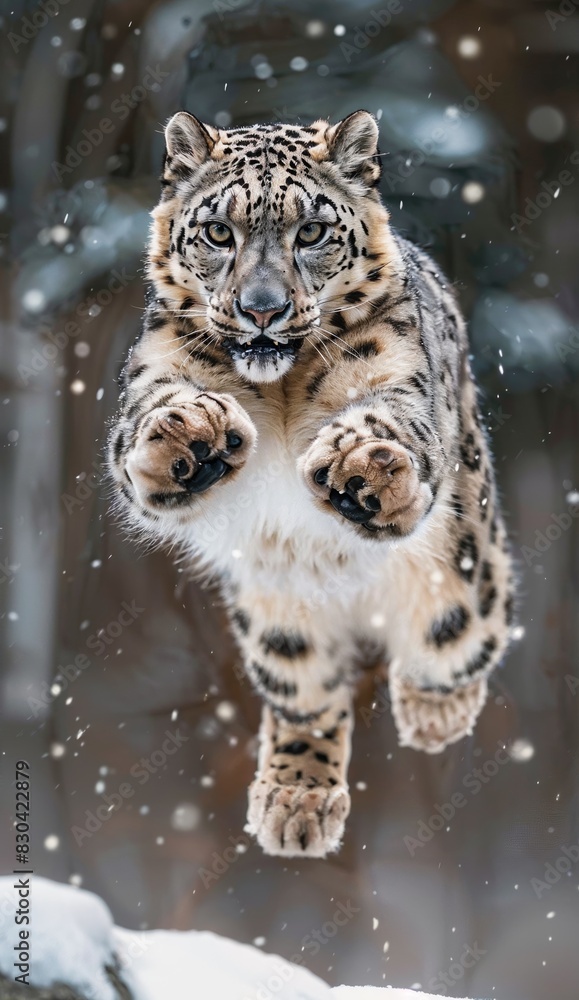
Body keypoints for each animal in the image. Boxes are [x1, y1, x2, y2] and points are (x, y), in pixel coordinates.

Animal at [107, 110, 516, 859]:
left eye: (312, 232)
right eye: (218, 232)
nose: (262, 309)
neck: (280, 389)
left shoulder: (399, 383)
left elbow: (387, 420)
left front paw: (362, 469)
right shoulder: (152, 377)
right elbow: (152, 420)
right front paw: (190, 437)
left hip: (465, 576)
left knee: (458, 638)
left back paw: (434, 712)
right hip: (274, 612)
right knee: (306, 695)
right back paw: (295, 803)